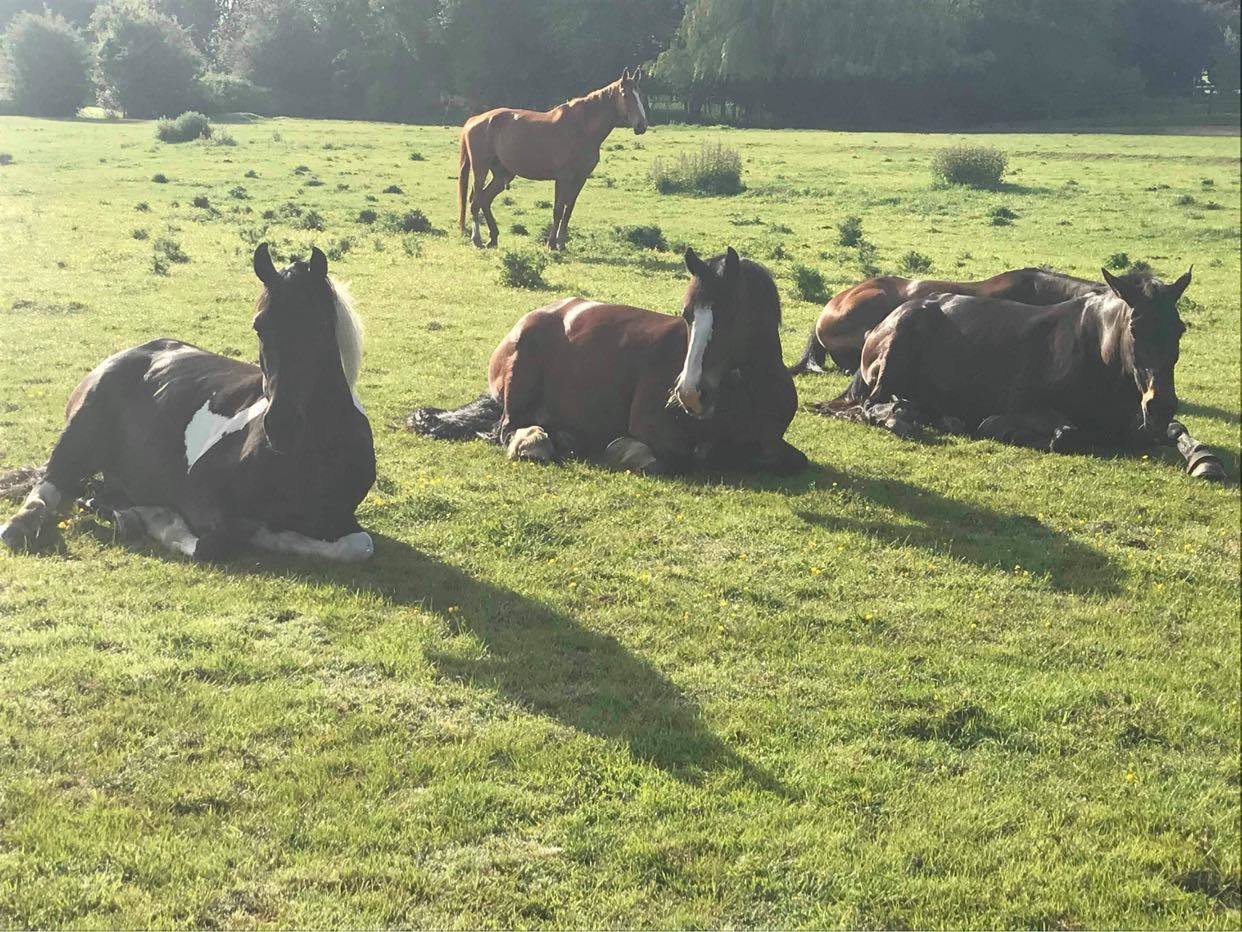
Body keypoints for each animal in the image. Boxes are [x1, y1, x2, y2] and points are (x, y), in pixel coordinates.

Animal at [1, 244, 377, 561]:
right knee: (49, 486)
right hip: (79, 440)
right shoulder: (197, 495)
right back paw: (23, 526)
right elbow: (217, 540)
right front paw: (161, 519)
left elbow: (358, 546)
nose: (281, 427)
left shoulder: (341, 520)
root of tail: (127, 355)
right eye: (259, 327)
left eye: (322, 324)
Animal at [412, 244, 809, 477]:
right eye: (687, 316)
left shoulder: (771, 441)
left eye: (730, 315)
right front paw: (624, 450)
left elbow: (786, 458)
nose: (690, 393)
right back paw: (540, 443)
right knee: (506, 428)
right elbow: (680, 457)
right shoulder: (652, 426)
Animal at [457, 68, 650, 249]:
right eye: (625, 95)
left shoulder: (580, 178)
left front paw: (561, 243)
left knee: (485, 199)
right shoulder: (563, 178)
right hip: (480, 169)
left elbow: (568, 210)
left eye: (640, 94)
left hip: (502, 174)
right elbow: (557, 210)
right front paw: (551, 243)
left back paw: (493, 238)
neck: (582, 128)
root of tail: (474, 120)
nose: (642, 125)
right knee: (475, 201)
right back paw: (477, 240)